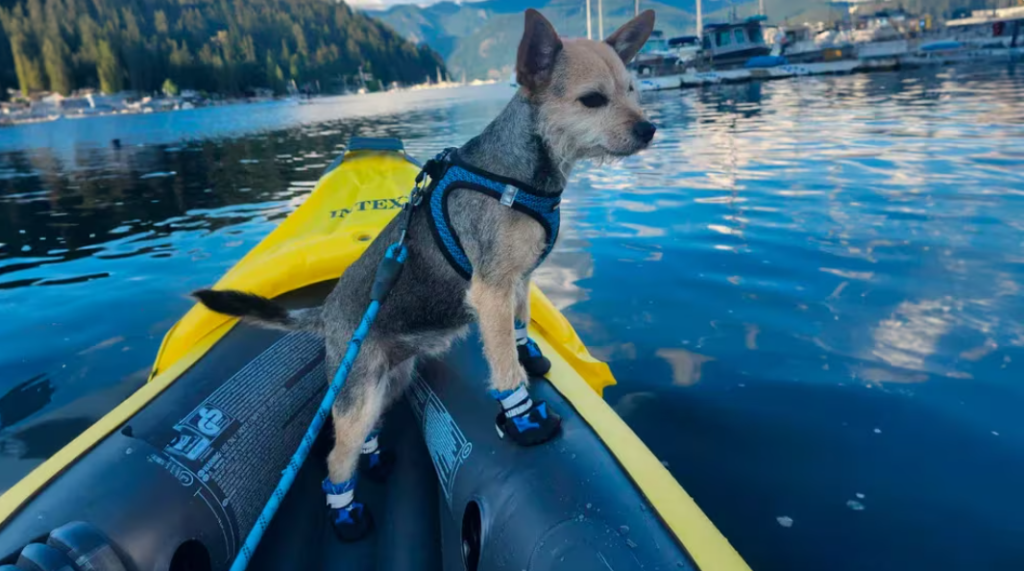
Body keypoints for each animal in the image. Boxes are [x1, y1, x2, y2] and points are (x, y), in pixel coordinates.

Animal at [192, 8, 655, 544]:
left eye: (633, 89)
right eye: (593, 99)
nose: (650, 129)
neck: (523, 172)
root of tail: (326, 313)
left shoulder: (517, 279)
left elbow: (518, 328)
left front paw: (530, 354)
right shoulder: (491, 290)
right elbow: (503, 366)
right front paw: (522, 415)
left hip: (388, 383)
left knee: (363, 434)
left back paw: (372, 458)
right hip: (357, 393)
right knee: (335, 457)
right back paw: (344, 511)